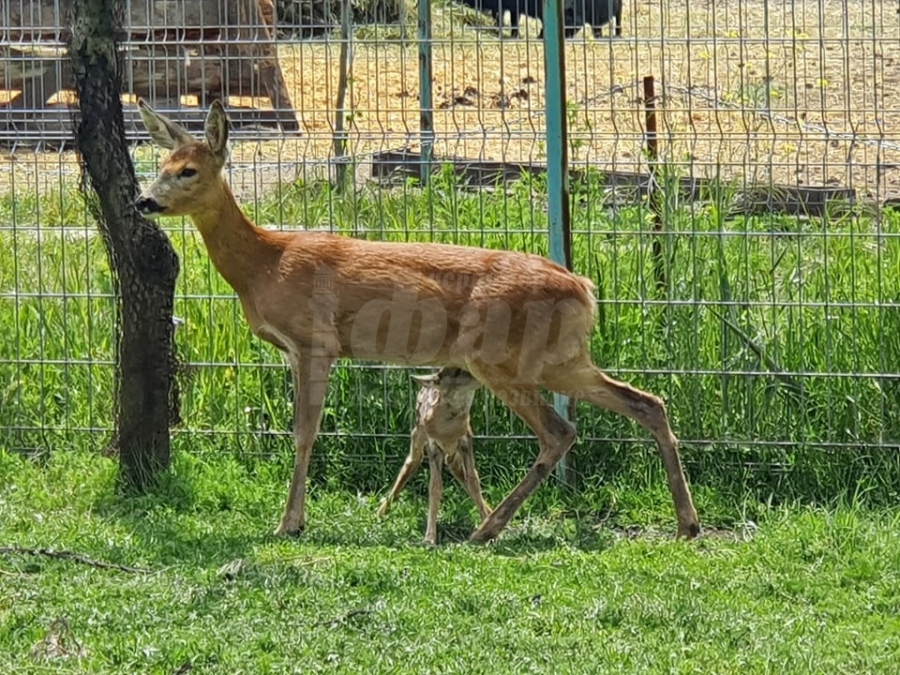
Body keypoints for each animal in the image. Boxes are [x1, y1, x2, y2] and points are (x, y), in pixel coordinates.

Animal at [378, 368, 496, 548]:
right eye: (457, 373)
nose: (481, 375)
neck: (448, 429)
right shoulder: (433, 447)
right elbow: (435, 487)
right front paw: (429, 538)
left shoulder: (466, 441)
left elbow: (473, 481)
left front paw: (487, 528)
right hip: (417, 434)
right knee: (410, 463)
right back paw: (380, 512)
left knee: (457, 470)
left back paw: (491, 513)